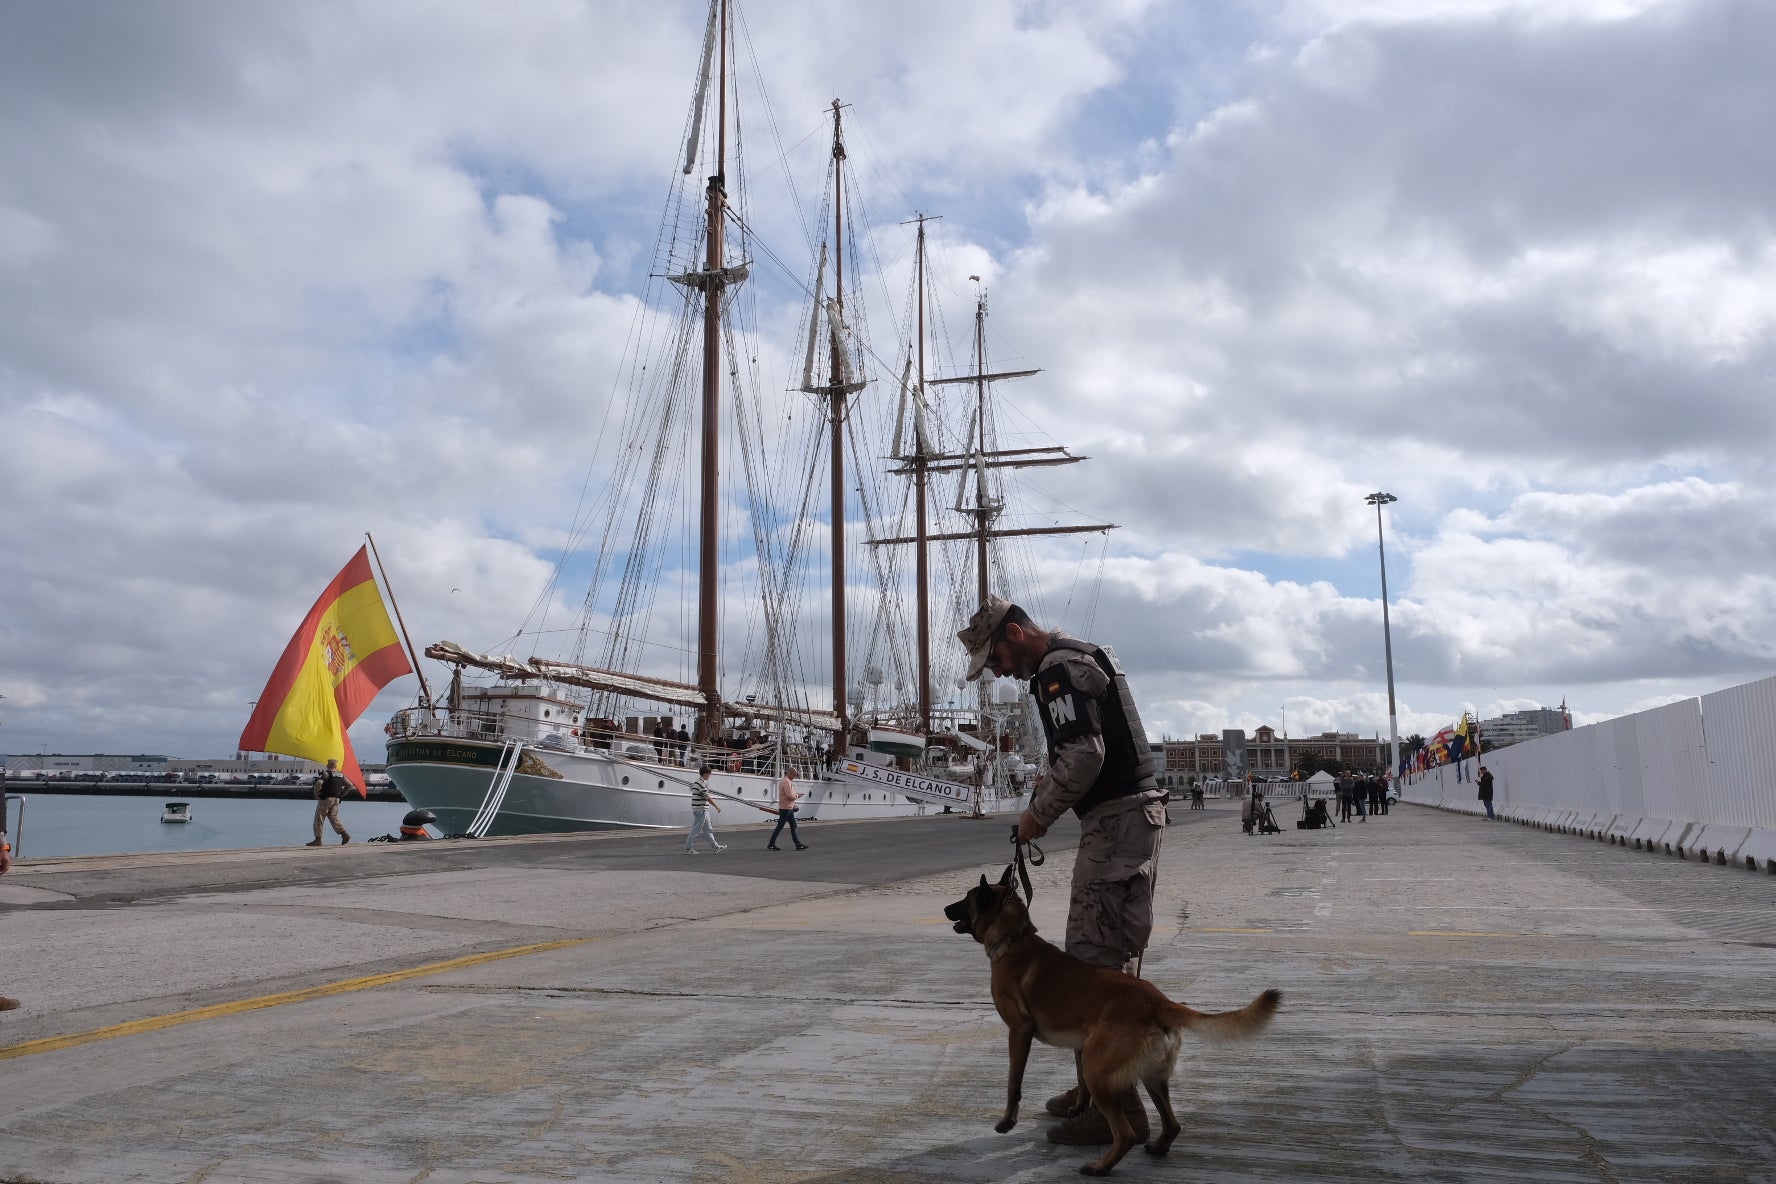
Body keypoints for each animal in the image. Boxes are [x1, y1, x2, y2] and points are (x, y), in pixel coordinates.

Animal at [951, 866, 1285, 1178]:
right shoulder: (1080, 1043)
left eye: (966, 900)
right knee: (1172, 1124)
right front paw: (1077, 1107)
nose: (945, 909)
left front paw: (1008, 1121)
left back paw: (1100, 1167)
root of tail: (1158, 1002)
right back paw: (1158, 1147)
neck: (1014, 937)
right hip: (1150, 1075)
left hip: (1099, 1069)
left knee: (1125, 1134)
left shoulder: (1019, 1031)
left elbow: (1013, 1081)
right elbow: (1078, 1081)